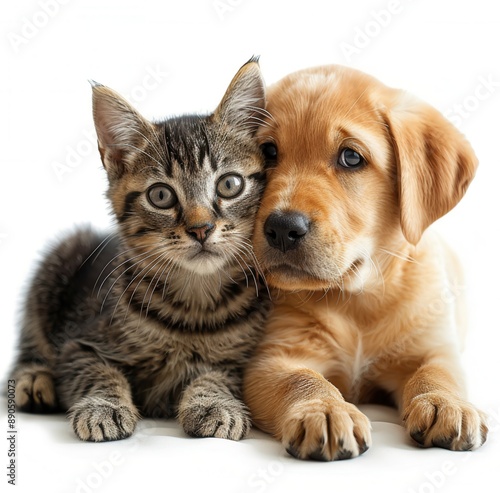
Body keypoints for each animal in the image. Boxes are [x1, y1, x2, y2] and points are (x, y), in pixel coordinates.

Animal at [10, 58, 270, 442]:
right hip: (58, 260)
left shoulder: (243, 361)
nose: (201, 228)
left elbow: (218, 376)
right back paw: (33, 378)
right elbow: (97, 372)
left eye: (230, 184)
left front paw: (213, 403)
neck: (195, 304)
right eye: (160, 195)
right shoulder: (79, 344)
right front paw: (104, 407)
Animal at [244, 63, 490, 460]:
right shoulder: (273, 358)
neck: (357, 298)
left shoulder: (434, 349)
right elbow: (302, 380)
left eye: (351, 158)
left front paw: (447, 403)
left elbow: (437, 374)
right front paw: (326, 410)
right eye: (268, 152)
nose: (282, 228)